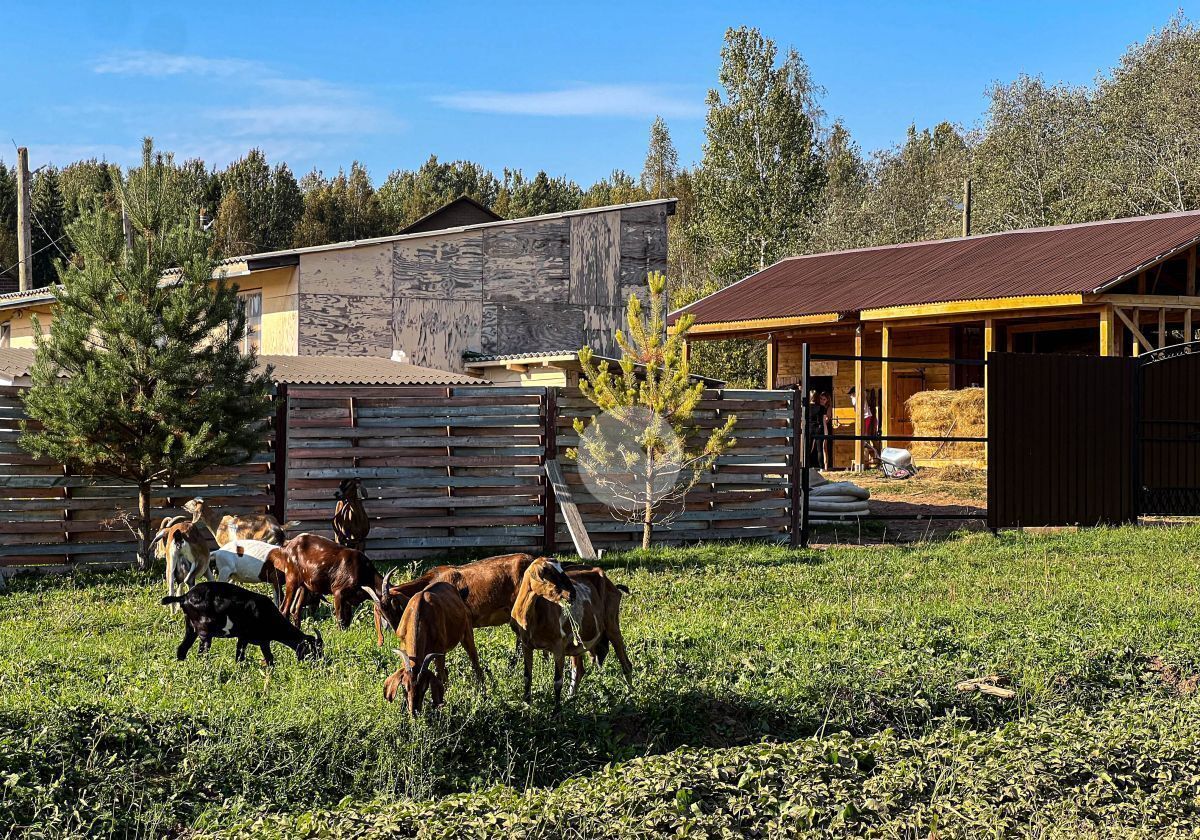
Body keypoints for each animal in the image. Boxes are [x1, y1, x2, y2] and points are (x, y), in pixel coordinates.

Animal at [164, 580, 326, 667]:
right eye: (315, 650)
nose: (321, 664)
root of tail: (185, 597)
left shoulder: (258, 641)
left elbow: (266, 659)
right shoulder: (248, 638)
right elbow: (243, 658)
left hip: (190, 628)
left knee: (182, 649)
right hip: (204, 631)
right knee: (202, 652)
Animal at [379, 583, 482, 715]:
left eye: (425, 687)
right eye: (404, 686)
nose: (414, 712)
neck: (419, 614)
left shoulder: (440, 651)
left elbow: (440, 677)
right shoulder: (404, 646)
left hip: (467, 632)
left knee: (475, 665)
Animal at [508, 556, 633, 710]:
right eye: (549, 574)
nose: (573, 594)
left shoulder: (558, 647)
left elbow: (557, 681)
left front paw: (556, 711)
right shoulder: (526, 645)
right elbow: (527, 677)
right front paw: (527, 705)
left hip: (612, 625)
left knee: (626, 664)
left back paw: (630, 696)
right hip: (577, 643)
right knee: (578, 671)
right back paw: (570, 698)